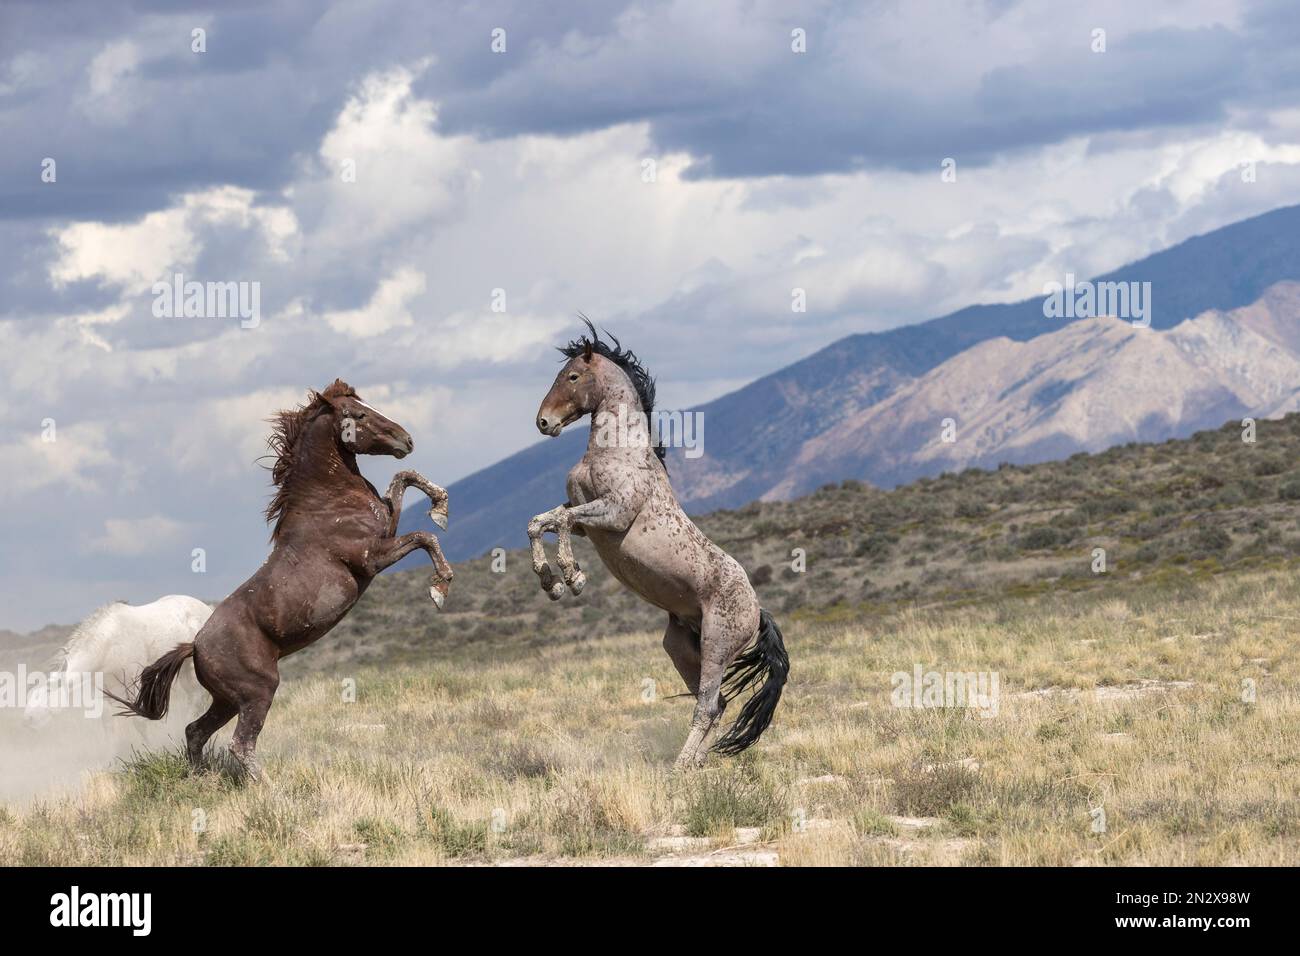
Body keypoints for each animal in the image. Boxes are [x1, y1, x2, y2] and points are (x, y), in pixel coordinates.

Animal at [21, 598, 209, 733]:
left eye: (47, 691)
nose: (28, 719)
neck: (109, 643)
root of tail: (207, 608)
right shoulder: (106, 690)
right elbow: (108, 722)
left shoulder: (133, 681)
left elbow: (139, 719)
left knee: (196, 698)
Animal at [113, 377, 457, 780]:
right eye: (358, 414)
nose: (407, 440)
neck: (327, 502)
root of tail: (195, 646)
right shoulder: (372, 557)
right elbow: (424, 537)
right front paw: (440, 587)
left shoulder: (387, 524)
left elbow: (405, 479)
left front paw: (440, 507)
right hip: (257, 692)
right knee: (240, 744)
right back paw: (268, 787)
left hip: (226, 700)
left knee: (195, 731)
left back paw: (202, 779)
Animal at [525, 323, 785, 770]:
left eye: (572, 377)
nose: (544, 422)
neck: (617, 451)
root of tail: (757, 610)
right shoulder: (585, 519)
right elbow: (540, 523)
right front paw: (551, 583)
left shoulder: (611, 514)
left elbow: (559, 523)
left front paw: (572, 577)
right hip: (681, 648)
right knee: (715, 705)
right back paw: (696, 763)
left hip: (716, 646)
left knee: (706, 705)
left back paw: (680, 768)